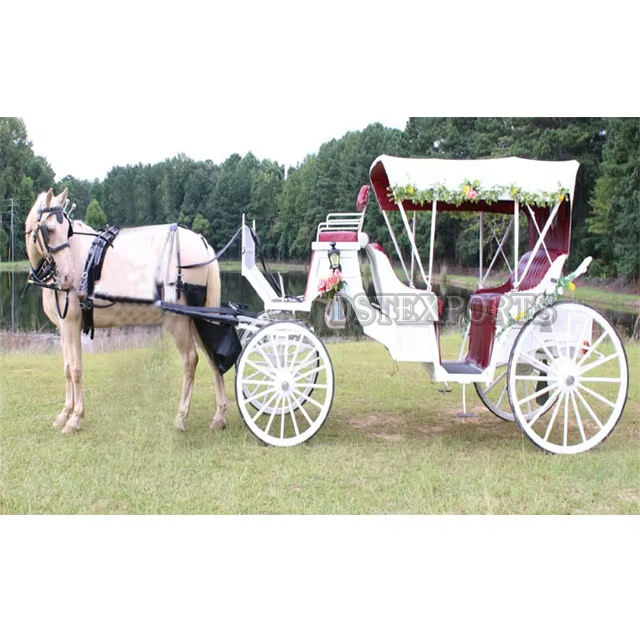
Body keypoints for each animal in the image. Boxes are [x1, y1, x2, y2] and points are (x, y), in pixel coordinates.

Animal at [24, 188, 229, 434]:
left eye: (66, 230)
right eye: (51, 229)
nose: (67, 278)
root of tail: (201, 242)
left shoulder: (72, 324)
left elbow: (75, 369)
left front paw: (74, 418)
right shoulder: (63, 327)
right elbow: (66, 368)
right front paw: (64, 414)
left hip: (179, 320)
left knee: (191, 360)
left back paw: (180, 417)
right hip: (197, 318)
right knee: (212, 357)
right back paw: (219, 416)